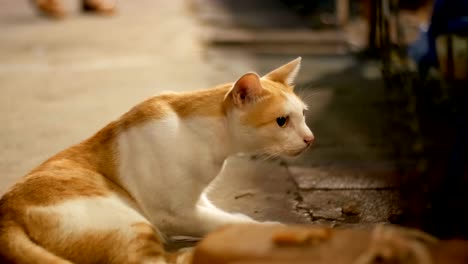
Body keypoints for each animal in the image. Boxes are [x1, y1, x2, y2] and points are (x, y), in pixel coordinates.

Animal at [0, 58, 314, 264]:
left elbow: (223, 216)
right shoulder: (174, 213)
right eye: (282, 121)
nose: (310, 138)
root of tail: (6, 212)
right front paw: (268, 230)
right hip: (133, 223)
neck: (207, 140)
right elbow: (231, 221)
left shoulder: (198, 200)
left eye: (303, 115)